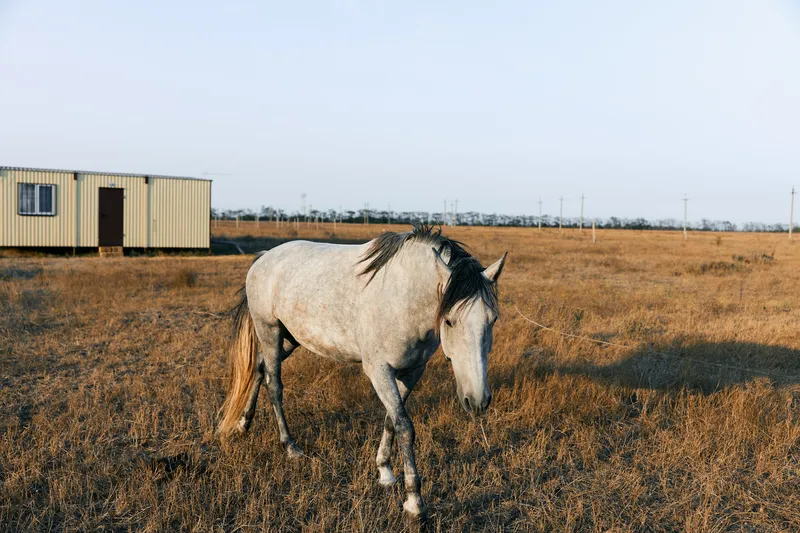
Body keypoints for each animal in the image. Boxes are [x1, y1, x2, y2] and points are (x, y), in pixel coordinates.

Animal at [217, 225, 507, 517]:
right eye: (449, 320)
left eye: (493, 320)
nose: (477, 400)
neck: (404, 295)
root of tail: (263, 258)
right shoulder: (379, 370)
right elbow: (404, 427)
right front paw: (414, 502)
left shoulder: (412, 372)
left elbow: (391, 420)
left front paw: (385, 472)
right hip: (270, 332)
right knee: (274, 385)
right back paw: (289, 446)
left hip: (288, 339)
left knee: (259, 369)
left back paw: (243, 424)